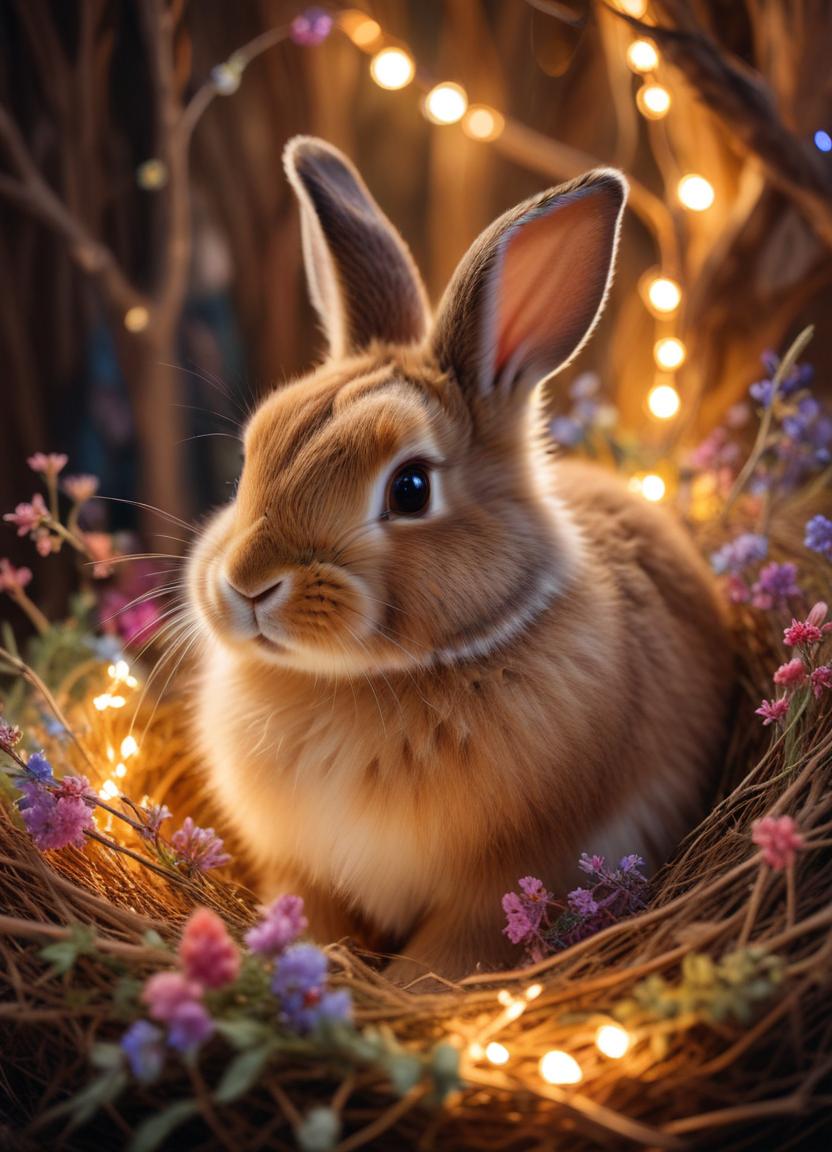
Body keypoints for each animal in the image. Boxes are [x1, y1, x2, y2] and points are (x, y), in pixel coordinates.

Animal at [188, 136, 733, 983]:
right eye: (251, 456)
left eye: (410, 488)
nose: (247, 586)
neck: (365, 683)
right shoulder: (303, 868)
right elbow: (311, 912)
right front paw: (309, 960)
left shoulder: (508, 880)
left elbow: (447, 960)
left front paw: (399, 991)